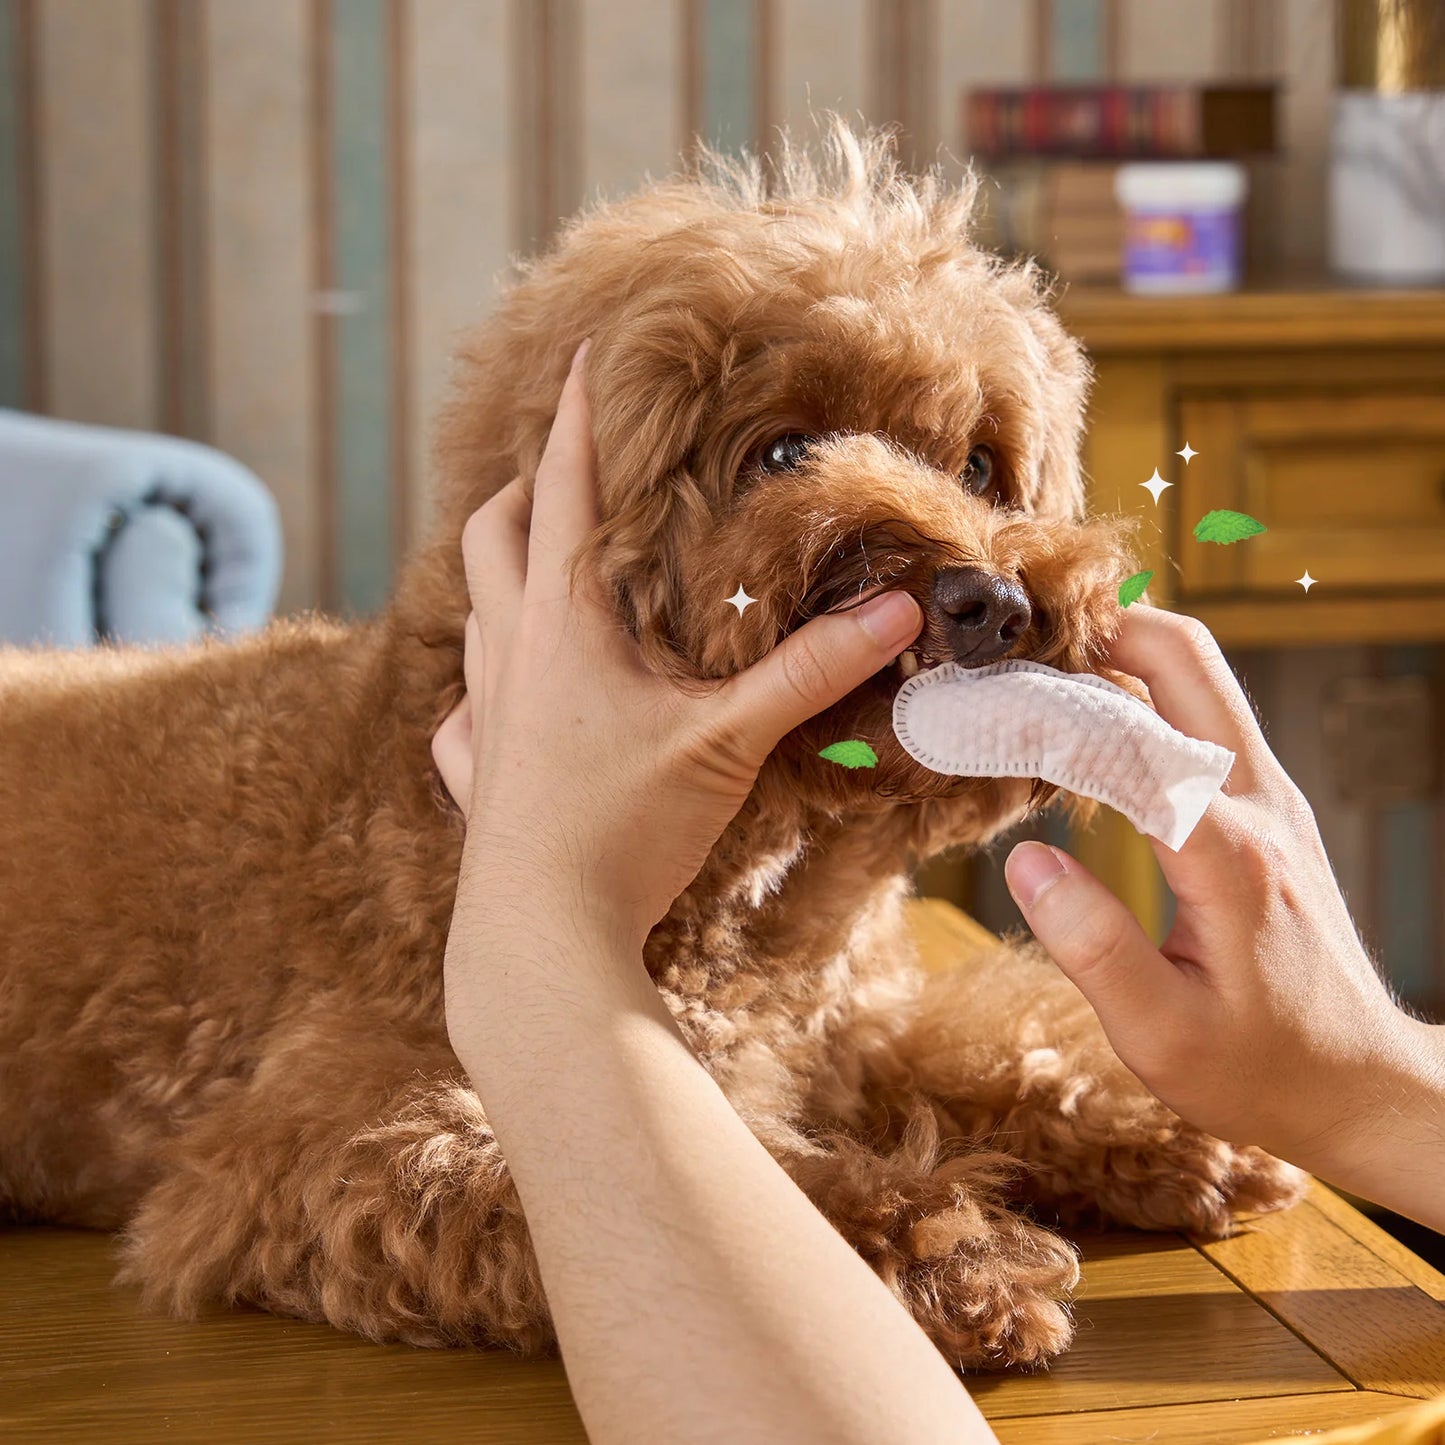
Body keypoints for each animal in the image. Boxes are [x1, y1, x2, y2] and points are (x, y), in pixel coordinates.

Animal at [0, 124, 1306, 1364]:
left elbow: (995, 1039)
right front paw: (937, 1249)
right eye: (780, 452)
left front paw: (1173, 1117)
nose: (988, 598)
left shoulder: (847, 1029)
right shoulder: (319, 1138)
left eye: (980, 466)